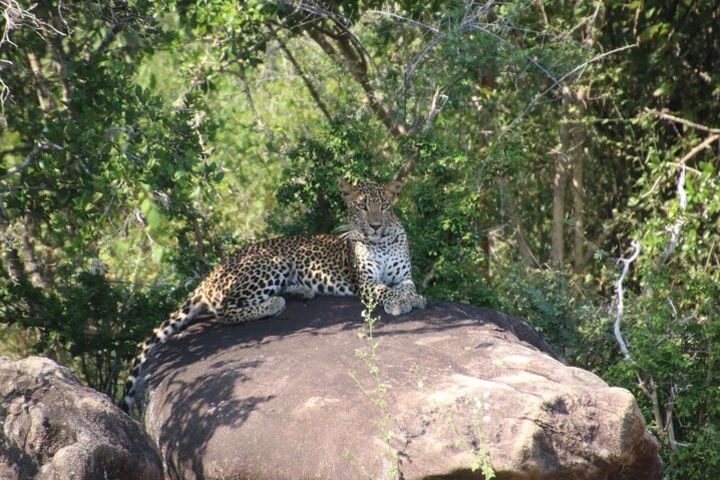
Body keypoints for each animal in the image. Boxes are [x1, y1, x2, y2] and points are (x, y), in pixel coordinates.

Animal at [120, 178, 424, 410]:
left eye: (384, 206)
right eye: (362, 206)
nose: (375, 225)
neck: (382, 242)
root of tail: (210, 274)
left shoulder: (405, 275)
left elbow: (408, 287)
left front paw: (414, 298)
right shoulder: (366, 283)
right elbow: (384, 291)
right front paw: (399, 303)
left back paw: (301, 290)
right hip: (268, 263)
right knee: (224, 312)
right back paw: (274, 304)